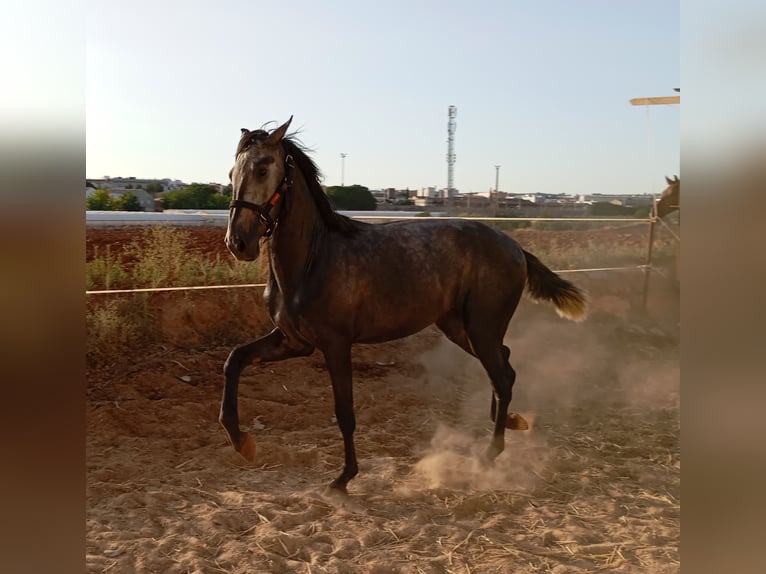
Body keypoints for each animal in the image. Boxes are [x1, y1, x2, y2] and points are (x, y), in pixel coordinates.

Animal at [220, 118, 588, 496]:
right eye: (232, 172)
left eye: (263, 168)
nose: (238, 243)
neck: (314, 259)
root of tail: (516, 248)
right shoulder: (294, 342)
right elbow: (234, 359)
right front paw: (241, 442)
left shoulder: (336, 345)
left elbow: (345, 412)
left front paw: (344, 478)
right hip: (460, 328)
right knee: (506, 366)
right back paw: (511, 422)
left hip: (481, 327)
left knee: (501, 378)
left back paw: (489, 455)